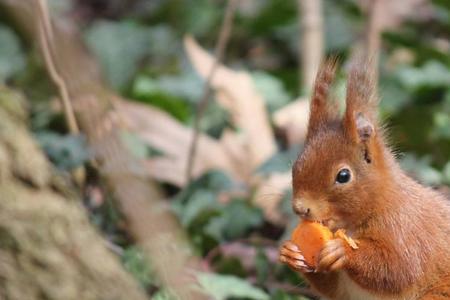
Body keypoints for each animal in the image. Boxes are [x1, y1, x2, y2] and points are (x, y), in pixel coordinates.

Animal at [280, 59, 450, 300]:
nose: (300, 208)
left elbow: (398, 268)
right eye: (295, 166)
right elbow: (331, 288)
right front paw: (290, 252)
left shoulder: (406, 229)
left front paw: (343, 252)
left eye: (343, 176)